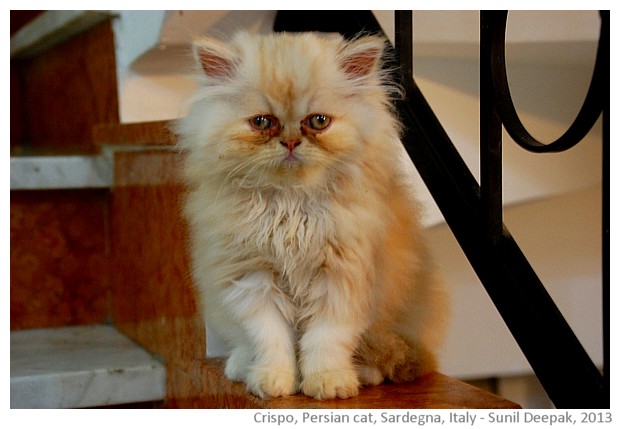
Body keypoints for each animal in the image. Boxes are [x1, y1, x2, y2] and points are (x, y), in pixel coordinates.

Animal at [177, 31, 448, 400]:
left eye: (318, 122)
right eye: (262, 122)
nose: (291, 141)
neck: (292, 205)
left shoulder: (342, 280)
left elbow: (326, 340)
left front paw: (328, 382)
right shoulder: (253, 280)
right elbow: (270, 339)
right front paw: (273, 381)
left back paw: (364, 374)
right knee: (245, 344)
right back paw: (242, 365)